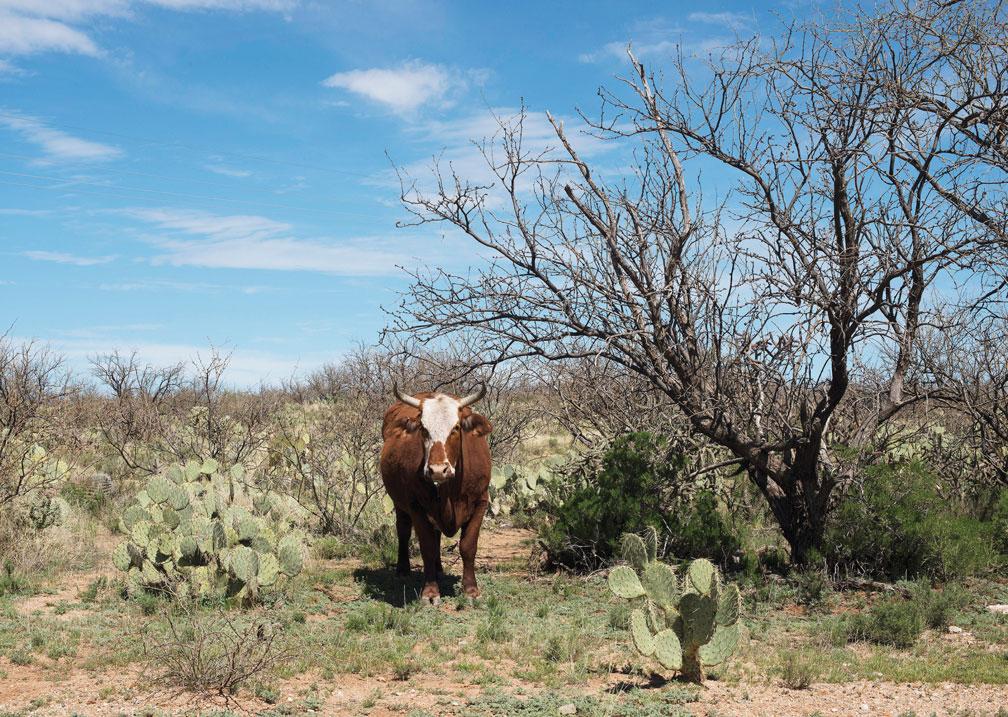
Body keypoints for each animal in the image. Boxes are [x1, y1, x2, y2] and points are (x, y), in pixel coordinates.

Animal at [379, 385, 491, 601]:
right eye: (423, 429)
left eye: (456, 428)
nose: (438, 470)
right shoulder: (416, 507)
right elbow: (428, 547)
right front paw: (430, 592)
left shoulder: (480, 502)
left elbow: (468, 546)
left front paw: (471, 589)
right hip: (399, 503)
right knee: (403, 531)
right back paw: (403, 569)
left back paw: (439, 569)